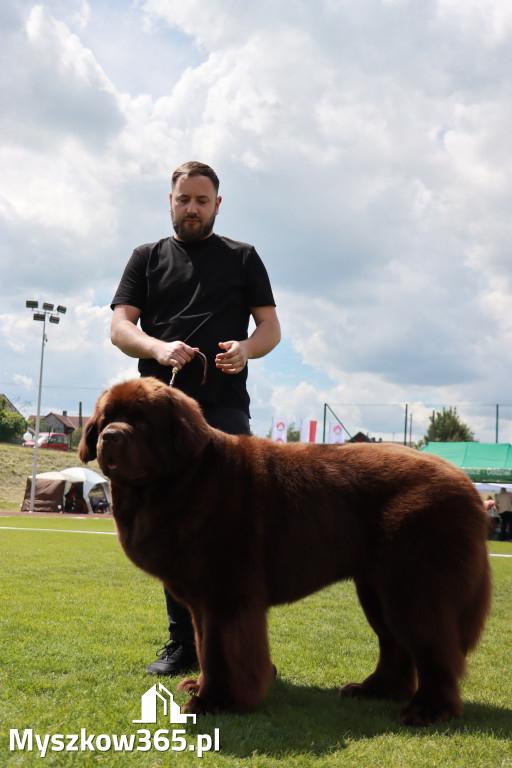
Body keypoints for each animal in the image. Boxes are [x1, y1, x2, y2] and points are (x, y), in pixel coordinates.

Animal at [80, 378, 492, 728]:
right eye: (106, 418)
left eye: (142, 420)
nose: (109, 437)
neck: (182, 480)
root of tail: (467, 484)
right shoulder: (202, 601)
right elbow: (203, 644)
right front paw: (199, 685)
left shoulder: (226, 594)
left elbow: (221, 650)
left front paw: (214, 701)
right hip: (376, 588)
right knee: (396, 643)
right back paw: (373, 690)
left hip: (415, 584)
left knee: (433, 646)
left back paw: (427, 711)